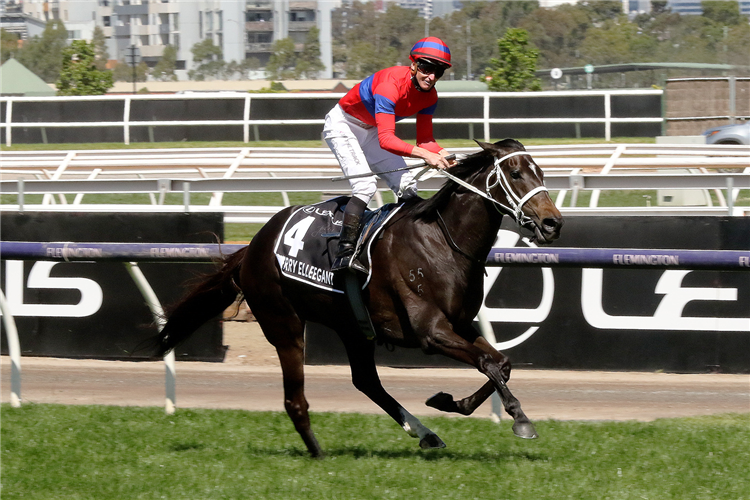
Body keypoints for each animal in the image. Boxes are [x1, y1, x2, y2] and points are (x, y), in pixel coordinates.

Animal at [148, 138, 564, 458]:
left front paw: (451, 402)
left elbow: (500, 363)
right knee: (295, 399)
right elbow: (488, 363)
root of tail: (252, 246)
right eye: (515, 174)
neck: (442, 241)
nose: (553, 223)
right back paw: (318, 454)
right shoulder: (431, 331)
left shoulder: (459, 324)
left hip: (353, 326)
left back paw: (426, 433)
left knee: (366, 381)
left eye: (541, 173)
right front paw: (520, 419)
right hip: (283, 322)